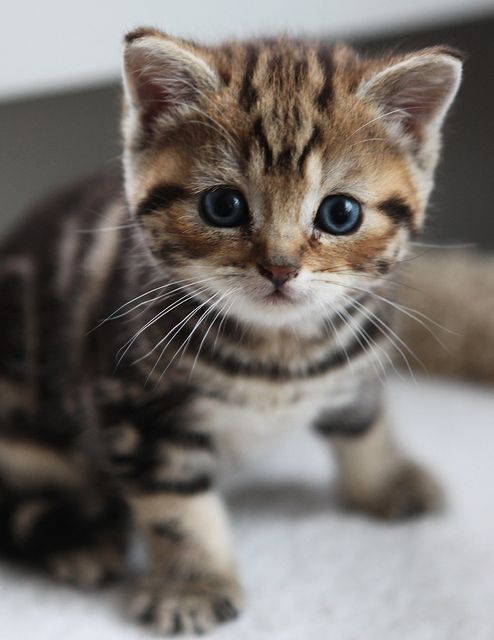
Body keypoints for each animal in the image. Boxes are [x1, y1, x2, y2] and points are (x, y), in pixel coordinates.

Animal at [0, 28, 464, 636]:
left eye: (340, 213)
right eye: (223, 205)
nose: (280, 268)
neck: (279, 351)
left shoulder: (359, 354)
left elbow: (365, 419)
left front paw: (387, 481)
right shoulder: (135, 409)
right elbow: (176, 508)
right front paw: (192, 585)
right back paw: (81, 542)